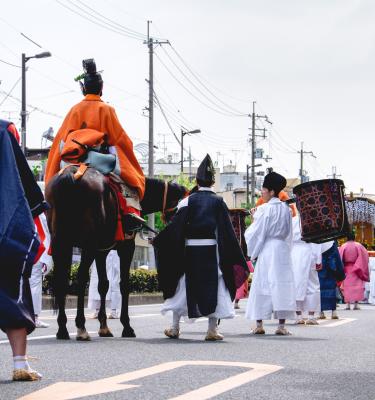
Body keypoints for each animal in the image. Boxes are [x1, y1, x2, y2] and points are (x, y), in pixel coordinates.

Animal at [46, 166, 187, 340]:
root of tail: (72, 173)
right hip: (88, 245)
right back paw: (81, 327)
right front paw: (127, 326)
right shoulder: (126, 246)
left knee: (62, 280)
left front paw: (104, 327)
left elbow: (103, 285)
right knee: (81, 278)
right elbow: (124, 285)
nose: (175, 222)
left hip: (60, 242)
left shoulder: (102, 251)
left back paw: (63, 328)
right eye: (178, 204)